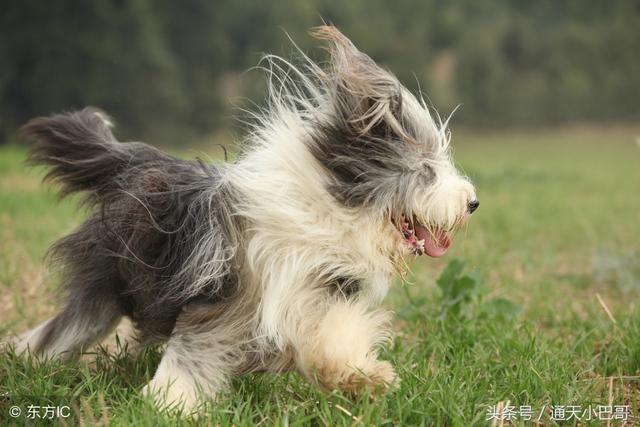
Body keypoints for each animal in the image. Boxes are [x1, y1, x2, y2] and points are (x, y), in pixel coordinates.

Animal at [11, 25, 480, 412]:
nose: (472, 203)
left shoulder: (316, 292)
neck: (328, 209)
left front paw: (363, 377)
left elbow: (331, 338)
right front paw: (168, 403)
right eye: (426, 171)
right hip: (106, 283)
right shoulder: (225, 291)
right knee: (68, 328)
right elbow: (194, 348)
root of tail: (132, 160)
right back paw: (28, 361)